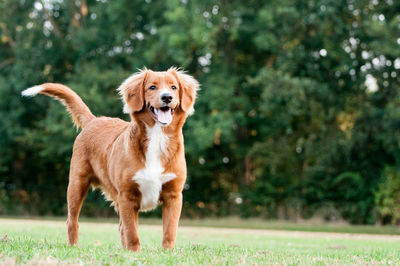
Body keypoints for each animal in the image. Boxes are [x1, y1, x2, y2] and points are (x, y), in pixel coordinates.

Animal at [21, 67, 199, 252]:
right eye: (152, 87)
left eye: (173, 87)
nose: (167, 97)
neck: (157, 137)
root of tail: (94, 120)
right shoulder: (127, 195)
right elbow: (132, 232)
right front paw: (134, 253)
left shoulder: (173, 195)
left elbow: (169, 231)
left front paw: (167, 253)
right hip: (76, 184)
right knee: (72, 221)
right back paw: (74, 246)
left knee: (120, 227)